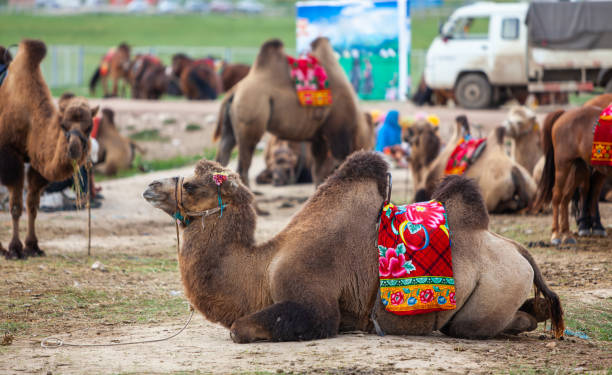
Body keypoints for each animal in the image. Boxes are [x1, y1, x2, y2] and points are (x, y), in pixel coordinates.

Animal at [0, 39, 97, 260]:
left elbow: (32, 204)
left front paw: (33, 246)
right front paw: (15, 249)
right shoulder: (10, 155)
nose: (73, 149)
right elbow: (16, 206)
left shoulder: (37, 163)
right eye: (63, 125)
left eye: (89, 127)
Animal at [143, 151, 564, 344]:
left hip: (493, 291)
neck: (261, 268)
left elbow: (240, 328)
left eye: (191, 186)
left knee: (473, 325)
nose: (149, 187)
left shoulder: (313, 299)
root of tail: (520, 251)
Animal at [213, 38, 372, 187]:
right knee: (243, 165)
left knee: (223, 154)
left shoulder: (319, 138)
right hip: (250, 119)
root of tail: (233, 92)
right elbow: (340, 164)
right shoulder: (338, 132)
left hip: (230, 125)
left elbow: (318, 171)